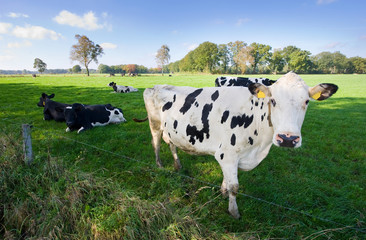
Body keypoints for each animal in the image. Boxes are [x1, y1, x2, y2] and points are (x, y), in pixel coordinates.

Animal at [134, 71, 338, 219]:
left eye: (306, 101)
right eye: (273, 100)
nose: (288, 138)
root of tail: (154, 86)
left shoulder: (230, 156)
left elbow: (227, 181)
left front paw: (223, 192)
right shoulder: (228, 154)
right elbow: (235, 187)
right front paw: (234, 212)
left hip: (172, 130)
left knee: (172, 145)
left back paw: (177, 165)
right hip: (155, 124)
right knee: (156, 143)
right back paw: (160, 165)